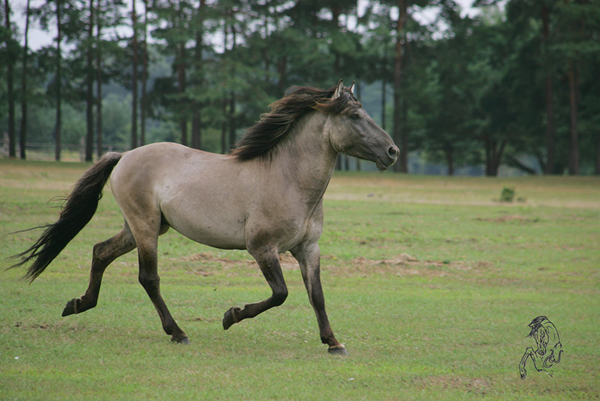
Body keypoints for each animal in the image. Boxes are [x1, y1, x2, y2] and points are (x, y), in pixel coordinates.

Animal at [10, 80, 398, 354]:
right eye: (355, 117)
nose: (392, 151)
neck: (287, 178)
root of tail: (124, 156)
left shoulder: (308, 249)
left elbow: (316, 295)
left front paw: (334, 342)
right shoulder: (262, 248)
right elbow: (280, 293)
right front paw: (231, 316)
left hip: (140, 228)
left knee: (100, 252)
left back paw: (78, 304)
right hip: (145, 227)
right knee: (148, 278)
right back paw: (178, 333)